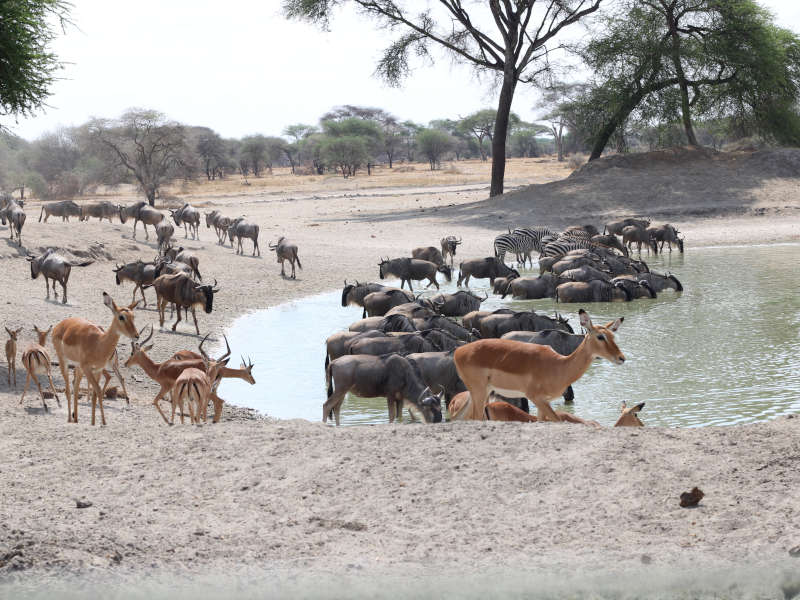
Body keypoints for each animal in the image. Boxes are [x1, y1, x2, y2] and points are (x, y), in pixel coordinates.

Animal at [51, 292, 141, 424]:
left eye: (133, 316)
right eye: (121, 317)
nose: (136, 336)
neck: (99, 343)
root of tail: (60, 325)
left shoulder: (97, 369)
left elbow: (94, 394)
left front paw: (94, 422)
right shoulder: (87, 368)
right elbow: (98, 390)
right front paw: (103, 422)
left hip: (78, 367)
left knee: (75, 388)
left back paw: (75, 418)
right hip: (64, 361)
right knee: (68, 389)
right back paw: (69, 419)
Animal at [454, 310, 620, 422]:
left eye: (612, 336)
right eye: (600, 337)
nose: (621, 358)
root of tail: (458, 352)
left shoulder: (543, 401)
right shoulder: (537, 398)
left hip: (480, 392)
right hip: (480, 393)